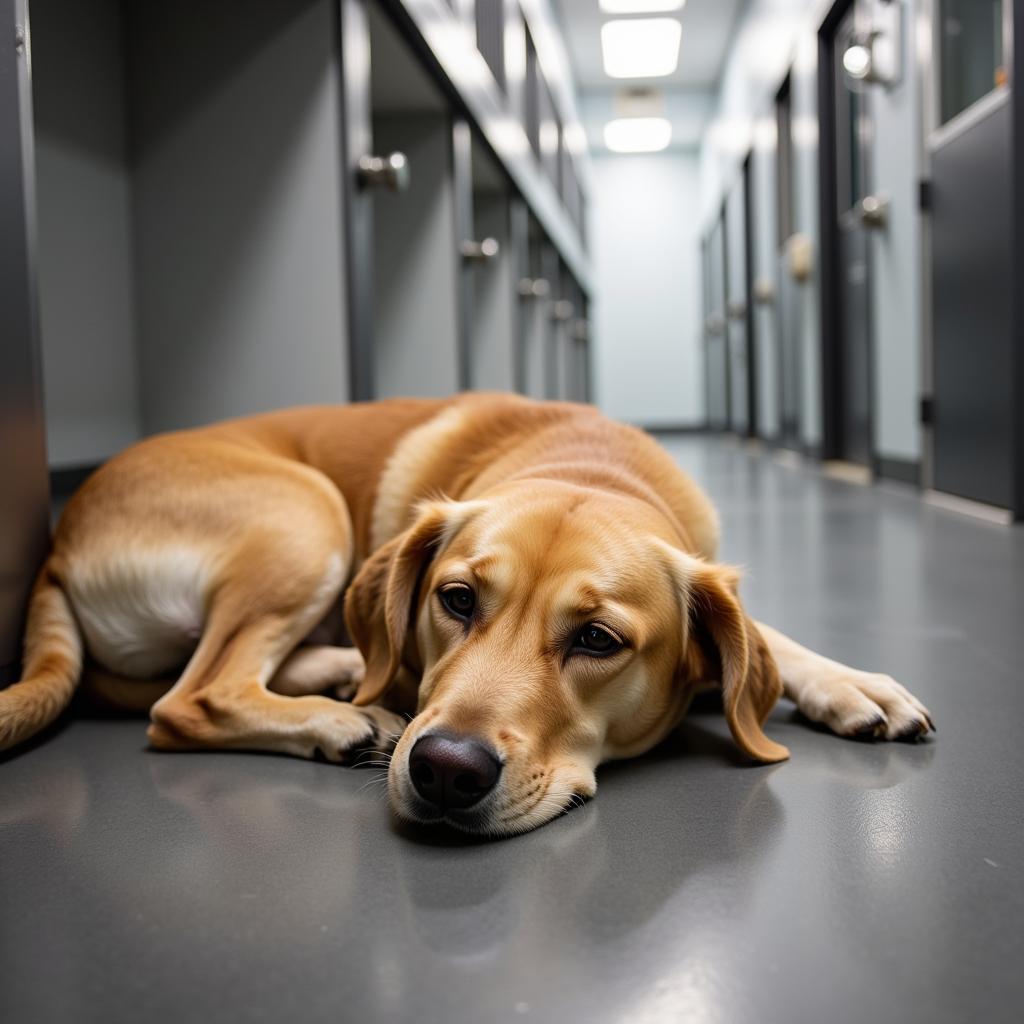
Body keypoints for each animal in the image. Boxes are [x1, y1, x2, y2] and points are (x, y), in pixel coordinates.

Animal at [0, 395, 933, 835]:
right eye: (456, 599)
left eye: (598, 639)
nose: (446, 769)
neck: (590, 467)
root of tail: (56, 544)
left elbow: (763, 634)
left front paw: (853, 684)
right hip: (302, 512)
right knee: (190, 698)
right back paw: (344, 719)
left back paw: (341, 673)